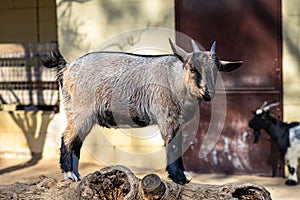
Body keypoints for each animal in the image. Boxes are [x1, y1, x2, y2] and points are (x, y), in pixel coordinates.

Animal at [42, 38, 243, 184]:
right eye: (193, 69)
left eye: (216, 70)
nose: (208, 92)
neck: (176, 79)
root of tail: (68, 67)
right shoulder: (167, 118)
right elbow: (173, 145)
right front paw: (179, 177)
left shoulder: (176, 122)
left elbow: (178, 144)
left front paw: (183, 175)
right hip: (81, 111)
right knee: (68, 137)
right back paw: (69, 173)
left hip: (76, 111)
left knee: (77, 141)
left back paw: (76, 175)